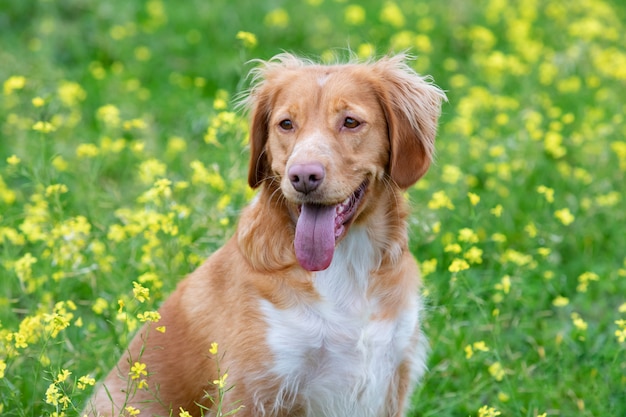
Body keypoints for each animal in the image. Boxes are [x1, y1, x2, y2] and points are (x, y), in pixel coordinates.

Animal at [88, 53, 446, 414]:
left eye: (350, 122)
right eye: (286, 124)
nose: (303, 176)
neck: (346, 266)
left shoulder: (389, 374)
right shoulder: (254, 390)